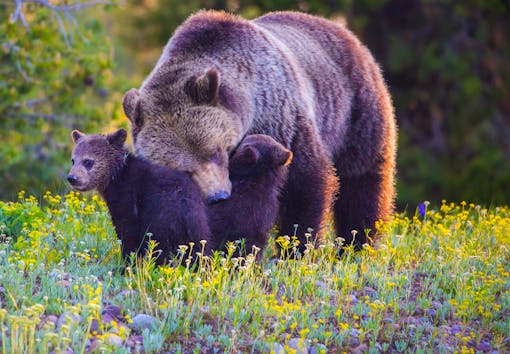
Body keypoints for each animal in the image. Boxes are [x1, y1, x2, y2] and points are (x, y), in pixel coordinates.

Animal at [67, 130, 290, 262]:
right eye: (73, 159)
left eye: (88, 161)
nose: (72, 178)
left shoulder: (128, 197)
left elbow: (127, 231)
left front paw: (127, 262)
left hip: (165, 215)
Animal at [121, 11, 396, 249]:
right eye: (185, 170)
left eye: (215, 152)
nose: (218, 196)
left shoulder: (281, 117)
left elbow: (306, 181)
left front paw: (296, 248)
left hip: (356, 109)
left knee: (362, 180)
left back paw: (358, 244)